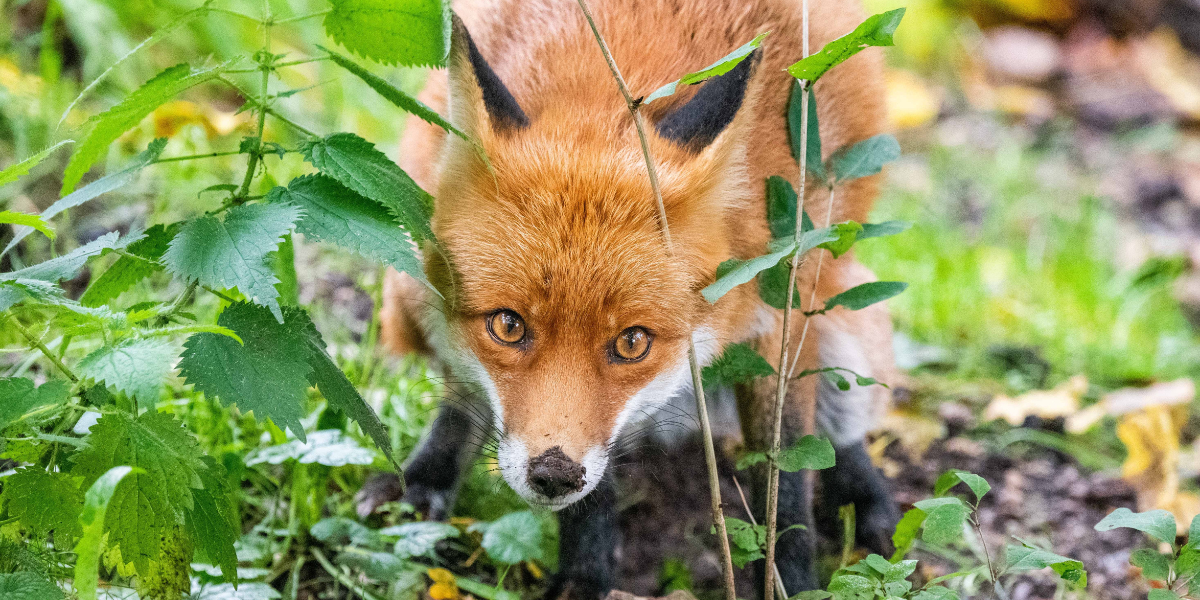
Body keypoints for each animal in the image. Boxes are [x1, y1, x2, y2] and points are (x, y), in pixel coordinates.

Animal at [369, 0, 901, 596]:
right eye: (508, 326)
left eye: (633, 343)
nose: (552, 476)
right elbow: (592, 491)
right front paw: (584, 578)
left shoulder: (779, 307)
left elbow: (783, 477)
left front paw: (794, 578)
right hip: (407, 276)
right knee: (460, 399)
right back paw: (420, 483)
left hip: (845, 327)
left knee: (842, 434)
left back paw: (867, 499)